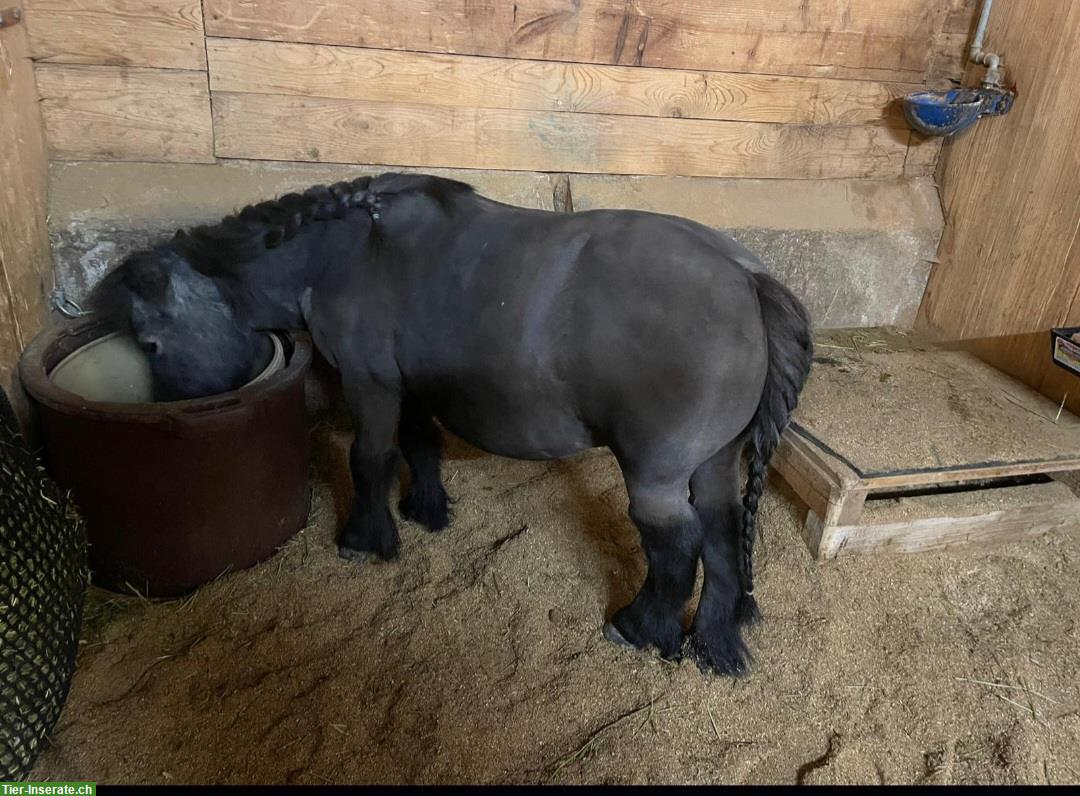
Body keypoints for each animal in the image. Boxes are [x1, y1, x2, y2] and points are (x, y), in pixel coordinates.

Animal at [92, 172, 812, 669]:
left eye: (149, 342)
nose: (171, 410)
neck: (345, 250)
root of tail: (746, 278)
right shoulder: (408, 386)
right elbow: (419, 445)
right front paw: (426, 509)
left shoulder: (370, 382)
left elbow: (370, 458)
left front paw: (367, 538)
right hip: (714, 460)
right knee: (721, 530)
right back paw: (715, 640)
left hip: (657, 472)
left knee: (677, 542)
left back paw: (641, 627)